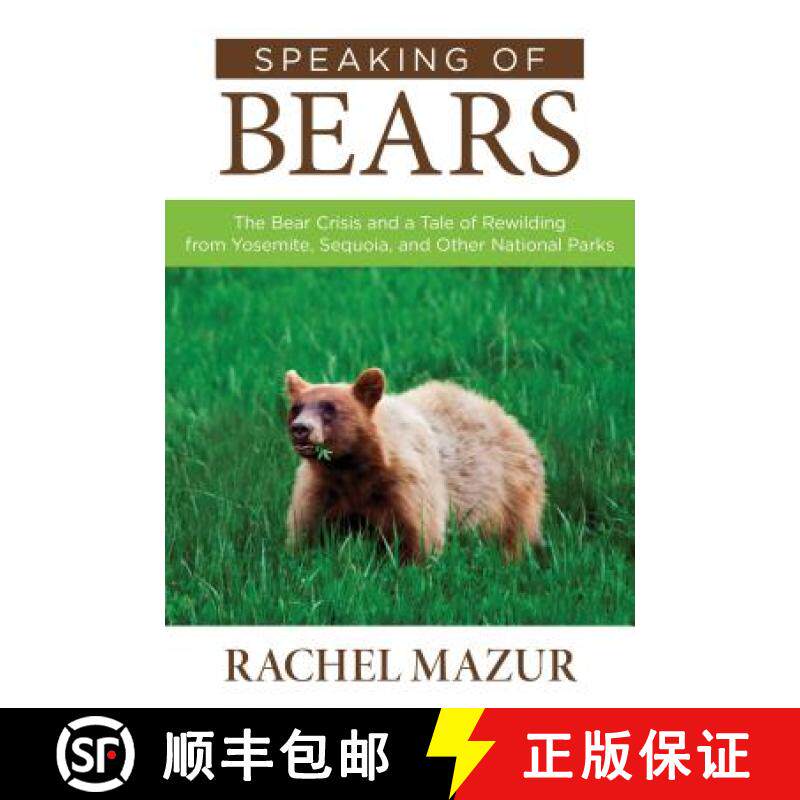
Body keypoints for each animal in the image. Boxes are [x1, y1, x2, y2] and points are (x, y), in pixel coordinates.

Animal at [284, 367, 545, 562]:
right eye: (296, 408)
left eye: (329, 408)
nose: (301, 429)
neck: (352, 468)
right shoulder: (321, 488)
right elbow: (307, 531)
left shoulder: (405, 485)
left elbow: (418, 534)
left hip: (509, 496)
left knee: (512, 537)